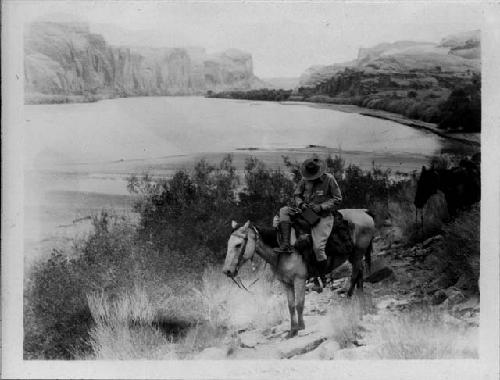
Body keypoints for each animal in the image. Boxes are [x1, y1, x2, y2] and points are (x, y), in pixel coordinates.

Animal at [223, 211, 376, 338]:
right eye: (228, 243)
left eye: (238, 244)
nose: (227, 271)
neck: (283, 251)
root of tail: (365, 213)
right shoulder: (286, 283)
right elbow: (290, 306)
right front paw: (292, 330)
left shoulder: (299, 280)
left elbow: (299, 303)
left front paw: (301, 327)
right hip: (353, 256)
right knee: (360, 272)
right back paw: (360, 296)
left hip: (358, 253)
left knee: (355, 274)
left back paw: (349, 298)